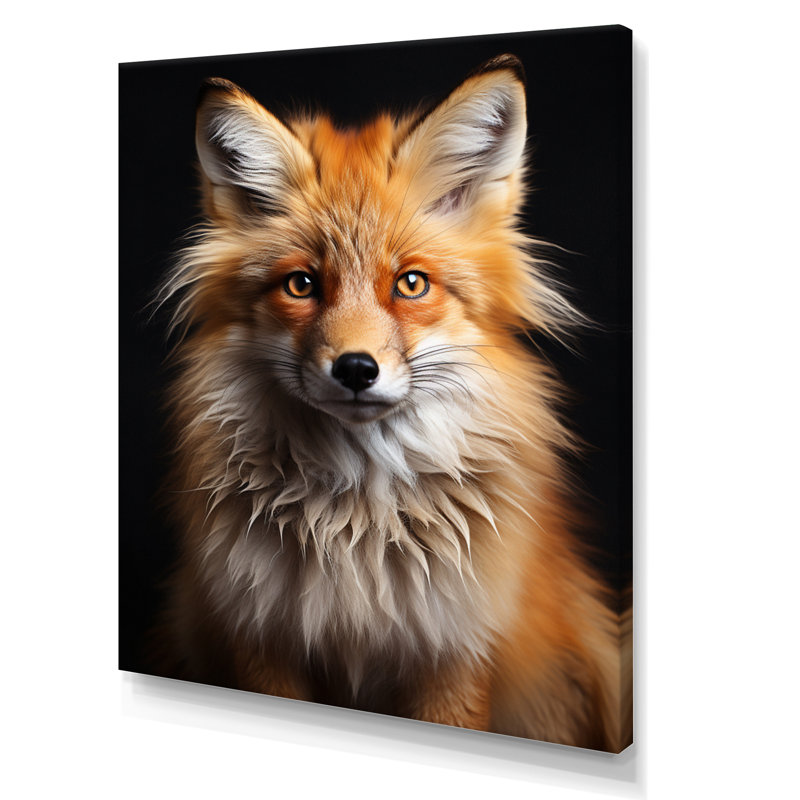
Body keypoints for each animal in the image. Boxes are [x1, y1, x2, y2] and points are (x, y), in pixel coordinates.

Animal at [153, 54, 632, 752]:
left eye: (410, 283)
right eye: (302, 284)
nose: (356, 369)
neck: (357, 528)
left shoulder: (456, 651)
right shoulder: (260, 643)